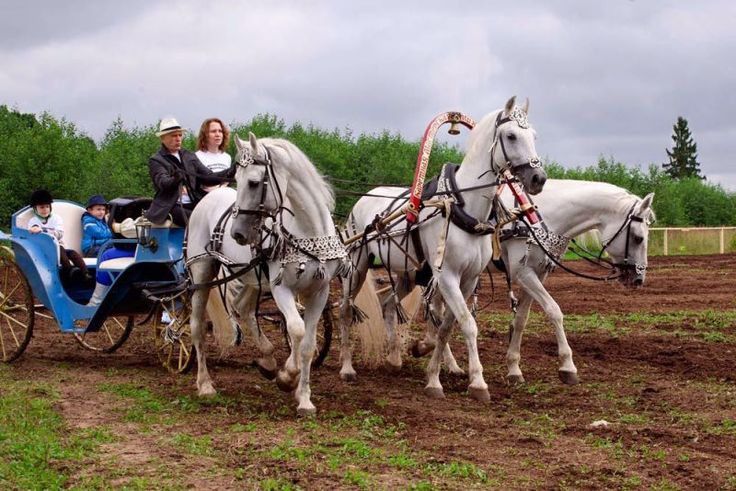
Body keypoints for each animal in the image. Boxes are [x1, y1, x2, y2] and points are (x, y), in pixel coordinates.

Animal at [190, 134, 350, 416]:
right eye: (237, 178)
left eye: (254, 183)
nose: (238, 234)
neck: (309, 232)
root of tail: (210, 197)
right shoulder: (281, 288)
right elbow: (296, 329)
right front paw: (287, 377)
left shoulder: (319, 291)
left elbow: (308, 345)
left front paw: (304, 398)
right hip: (202, 272)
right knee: (197, 326)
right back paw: (205, 385)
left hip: (251, 277)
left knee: (243, 308)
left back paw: (266, 359)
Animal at [340, 98, 548, 402]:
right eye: (511, 136)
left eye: (534, 136)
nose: (538, 178)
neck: (464, 206)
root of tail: (364, 199)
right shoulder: (447, 276)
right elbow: (467, 325)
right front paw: (477, 382)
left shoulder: (467, 279)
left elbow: (447, 327)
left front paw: (434, 375)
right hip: (357, 266)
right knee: (346, 309)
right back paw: (346, 367)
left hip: (408, 274)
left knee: (388, 305)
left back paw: (394, 357)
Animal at [414, 180, 656, 384]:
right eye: (638, 238)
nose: (638, 278)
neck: (539, 219)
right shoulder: (524, 273)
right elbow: (554, 310)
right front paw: (567, 365)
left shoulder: (538, 275)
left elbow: (521, 319)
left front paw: (513, 368)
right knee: (435, 311)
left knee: (438, 311)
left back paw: (440, 356)